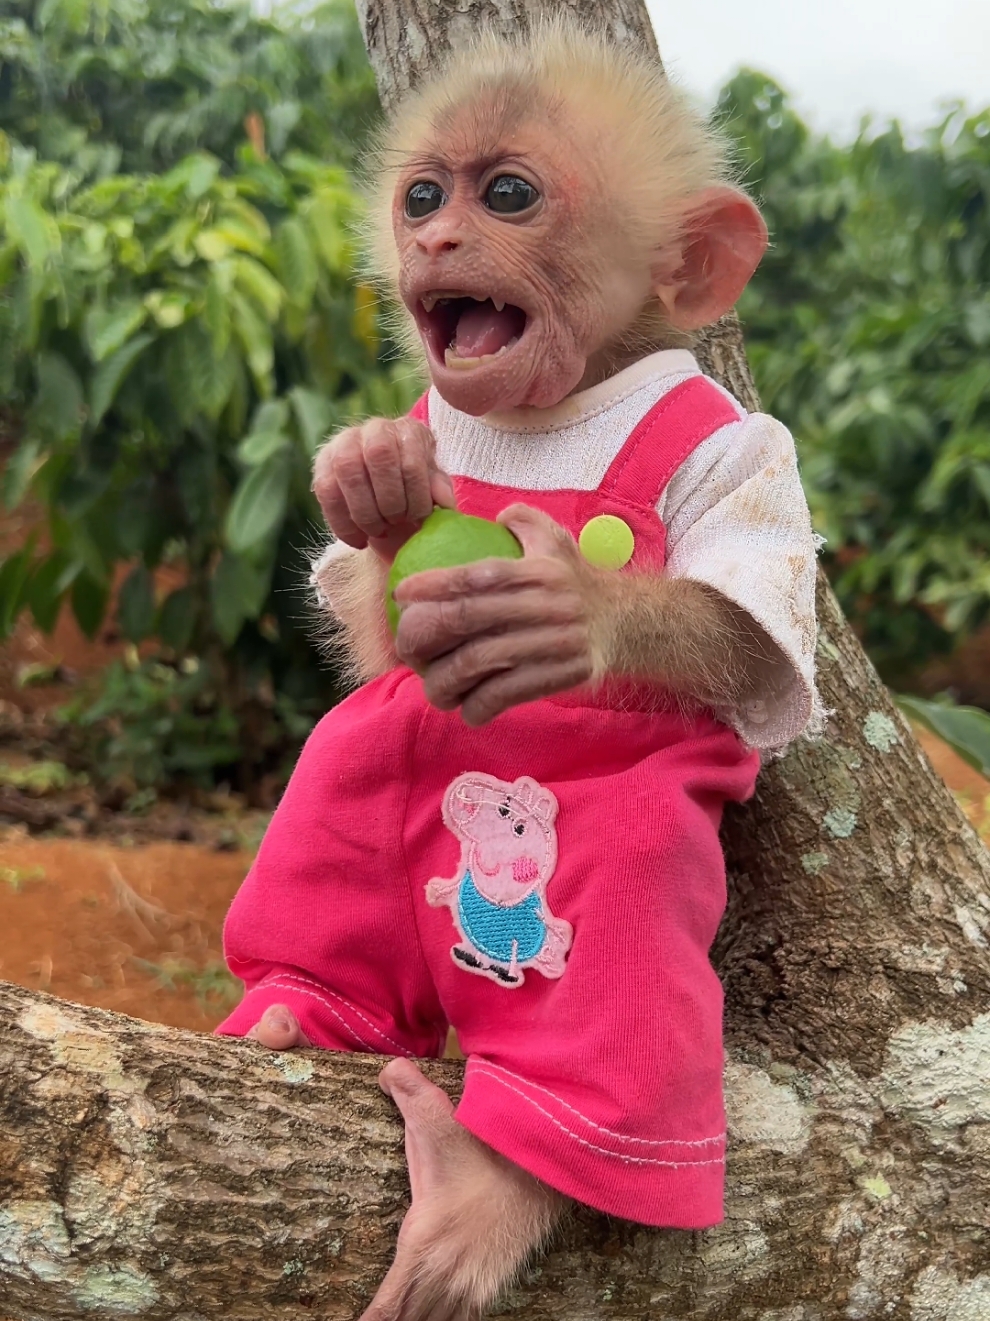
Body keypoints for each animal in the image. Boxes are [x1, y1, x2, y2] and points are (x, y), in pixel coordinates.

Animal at [216, 17, 822, 1320]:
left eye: (507, 195)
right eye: (421, 195)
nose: (436, 238)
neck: (562, 408)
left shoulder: (749, 453)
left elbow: (742, 631)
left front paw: (572, 609)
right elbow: (374, 621)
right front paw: (379, 484)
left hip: (617, 868)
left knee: (611, 984)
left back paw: (484, 1187)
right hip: (349, 800)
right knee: (336, 794)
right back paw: (296, 1008)